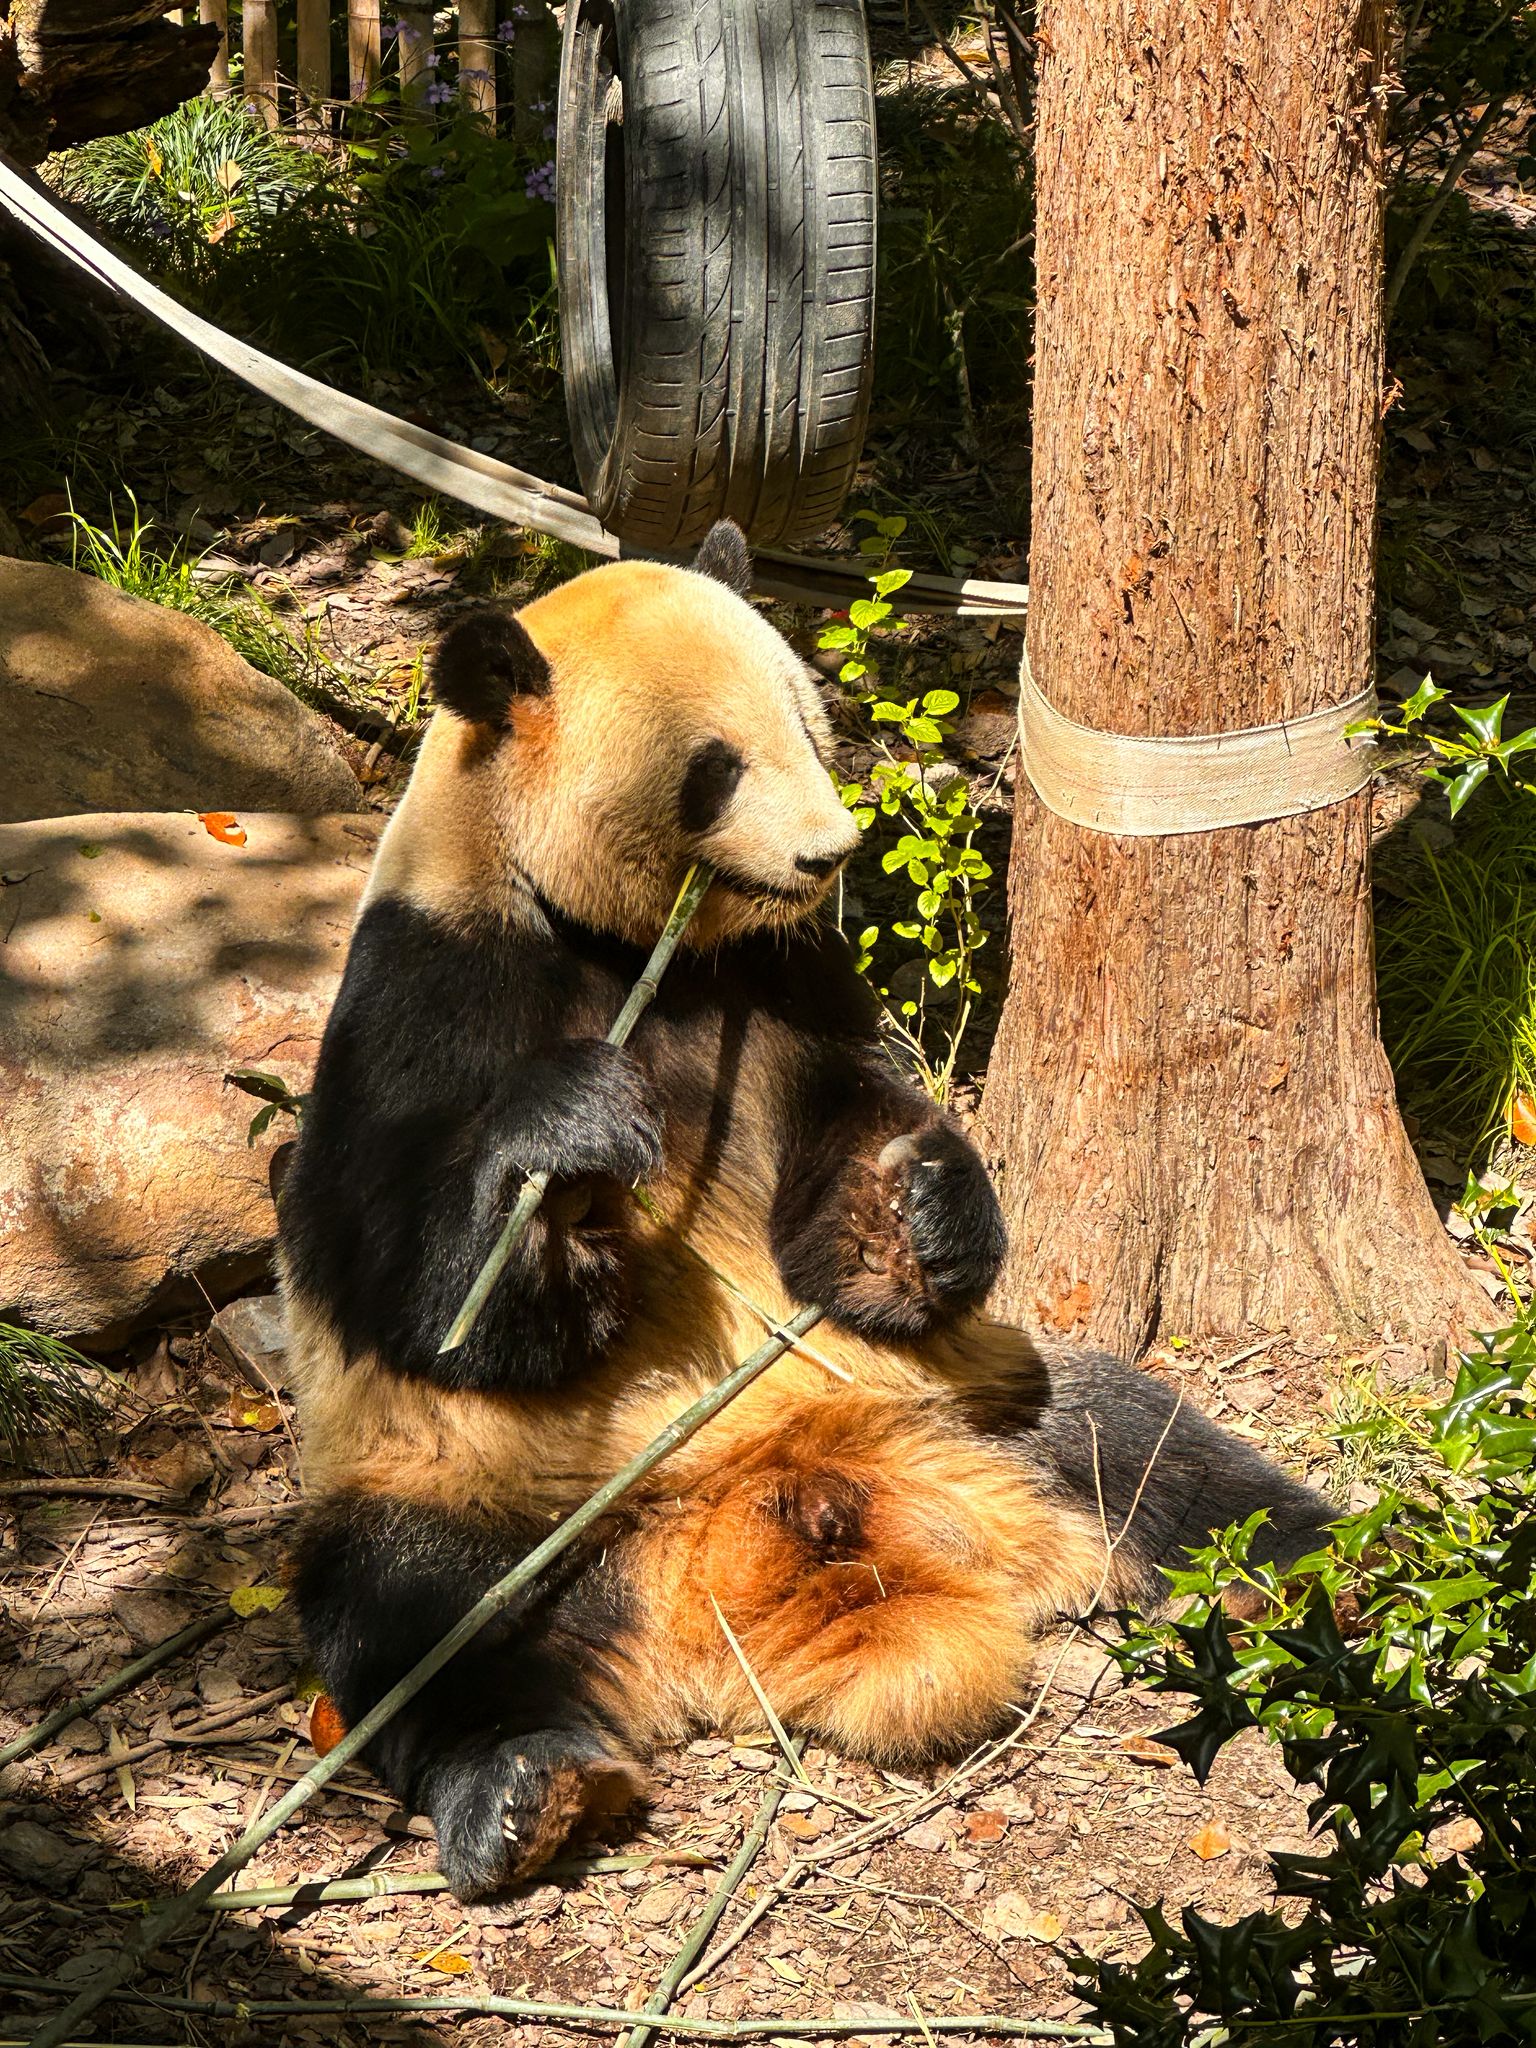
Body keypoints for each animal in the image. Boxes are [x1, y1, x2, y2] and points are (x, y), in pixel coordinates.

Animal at [279, 520, 1329, 1901]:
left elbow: (848, 1160)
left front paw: (923, 1204)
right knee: (413, 1613)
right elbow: (409, 1281)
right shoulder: (433, 978)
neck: (624, 944)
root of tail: (742, 1542)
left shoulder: (784, 972)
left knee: (1144, 1444)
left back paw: (1328, 1562)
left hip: (961, 1396)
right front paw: (569, 1138)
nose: (830, 852)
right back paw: (527, 1792)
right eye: (715, 767)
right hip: (485, 1489)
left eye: (807, 722)